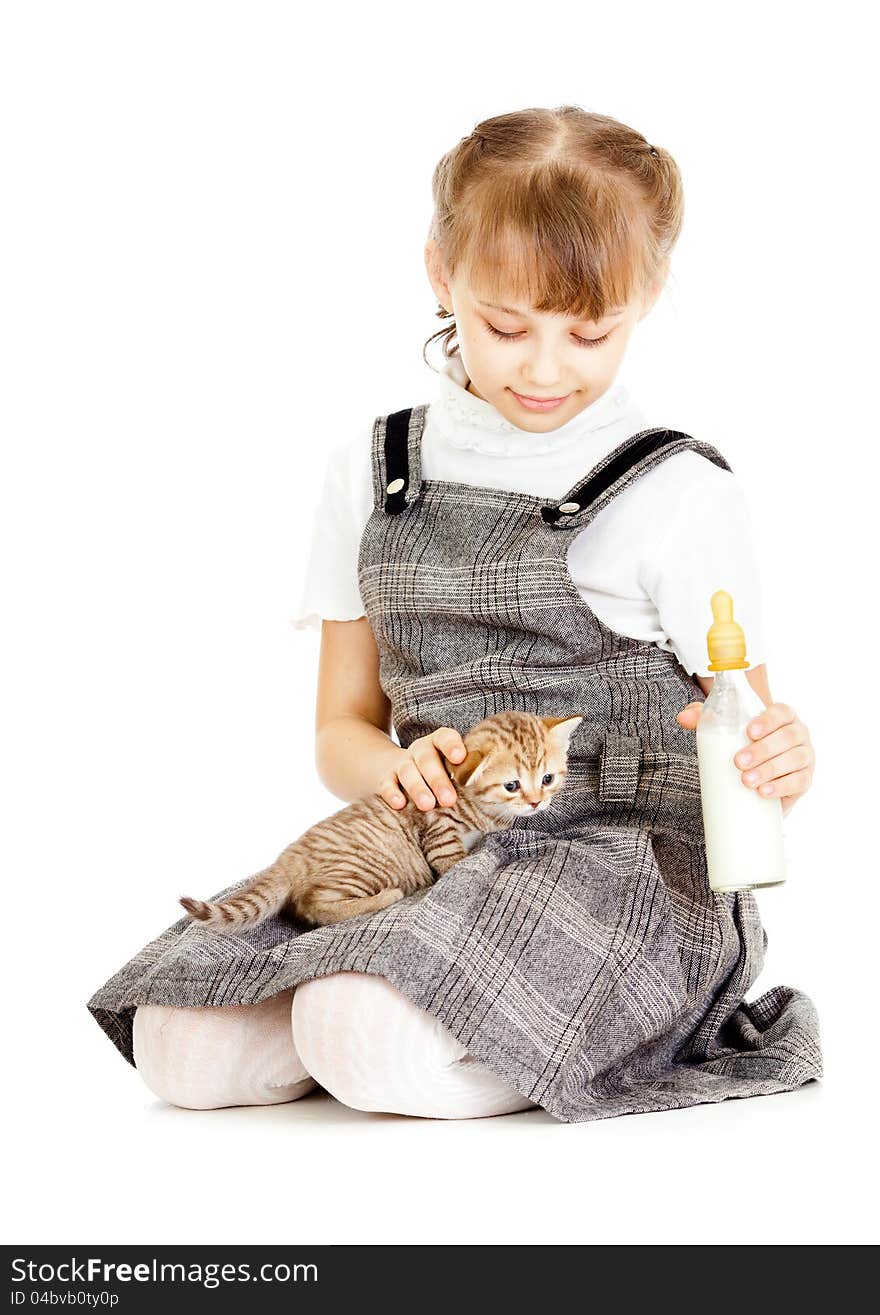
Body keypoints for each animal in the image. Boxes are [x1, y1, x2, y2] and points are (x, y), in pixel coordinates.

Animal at [176, 710, 578, 936]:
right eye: (512, 785)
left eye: (547, 779)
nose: (536, 801)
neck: (475, 802)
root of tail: (288, 859)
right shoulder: (438, 831)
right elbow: (454, 860)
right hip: (365, 865)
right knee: (314, 906)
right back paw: (387, 896)